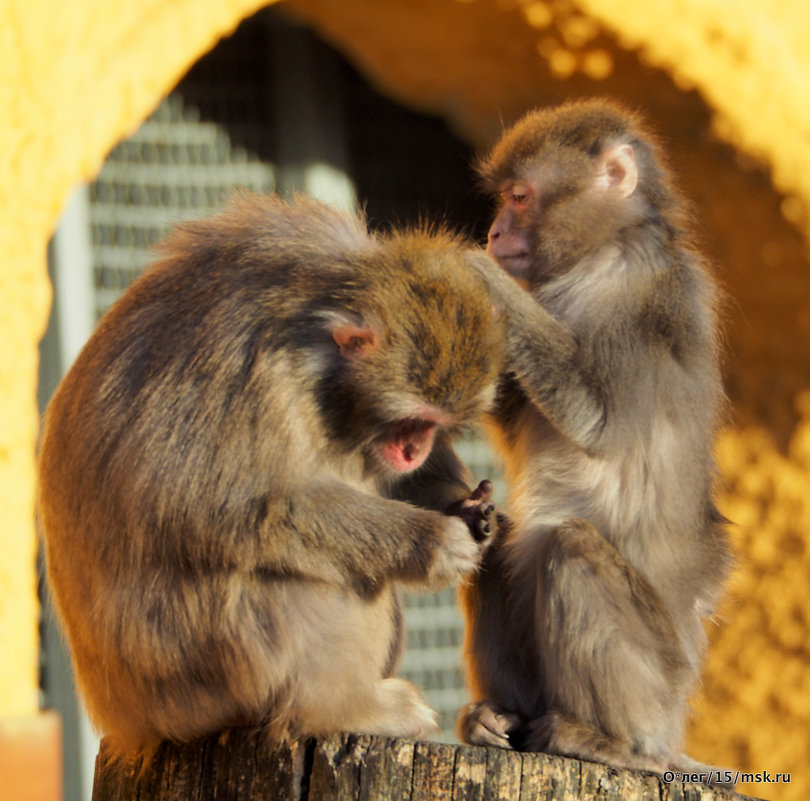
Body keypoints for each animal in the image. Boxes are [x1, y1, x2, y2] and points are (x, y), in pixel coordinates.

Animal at [39, 194, 504, 764]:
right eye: (410, 420)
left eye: (435, 425)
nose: (414, 449)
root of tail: (131, 722)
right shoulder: (253, 373)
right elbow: (217, 507)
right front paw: (434, 539)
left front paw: (470, 509)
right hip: (218, 671)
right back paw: (343, 707)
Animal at [454, 97, 732, 780]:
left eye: (520, 197)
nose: (494, 234)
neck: (603, 249)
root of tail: (672, 723)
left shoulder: (640, 300)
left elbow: (595, 420)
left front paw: (473, 272)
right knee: (494, 542)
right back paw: (494, 718)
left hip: (656, 677)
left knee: (572, 546)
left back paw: (615, 745)